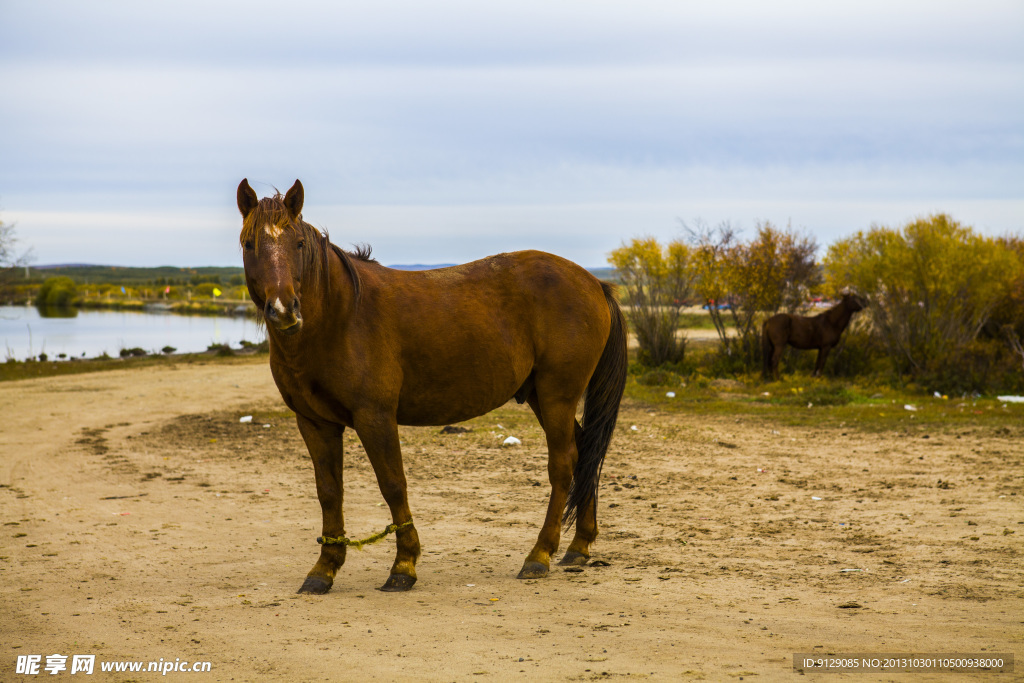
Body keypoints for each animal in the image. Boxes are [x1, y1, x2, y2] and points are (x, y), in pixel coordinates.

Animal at [235, 180, 626, 593]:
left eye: (297, 244)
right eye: (249, 243)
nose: (284, 310)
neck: (340, 317)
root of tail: (593, 283)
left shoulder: (375, 418)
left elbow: (393, 484)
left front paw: (403, 565)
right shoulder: (315, 423)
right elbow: (329, 492)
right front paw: (324, 569)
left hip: (557, 396)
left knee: (564, 462)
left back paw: (539, 555)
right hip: (540, 396)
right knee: (585, 452)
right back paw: (579, 546)